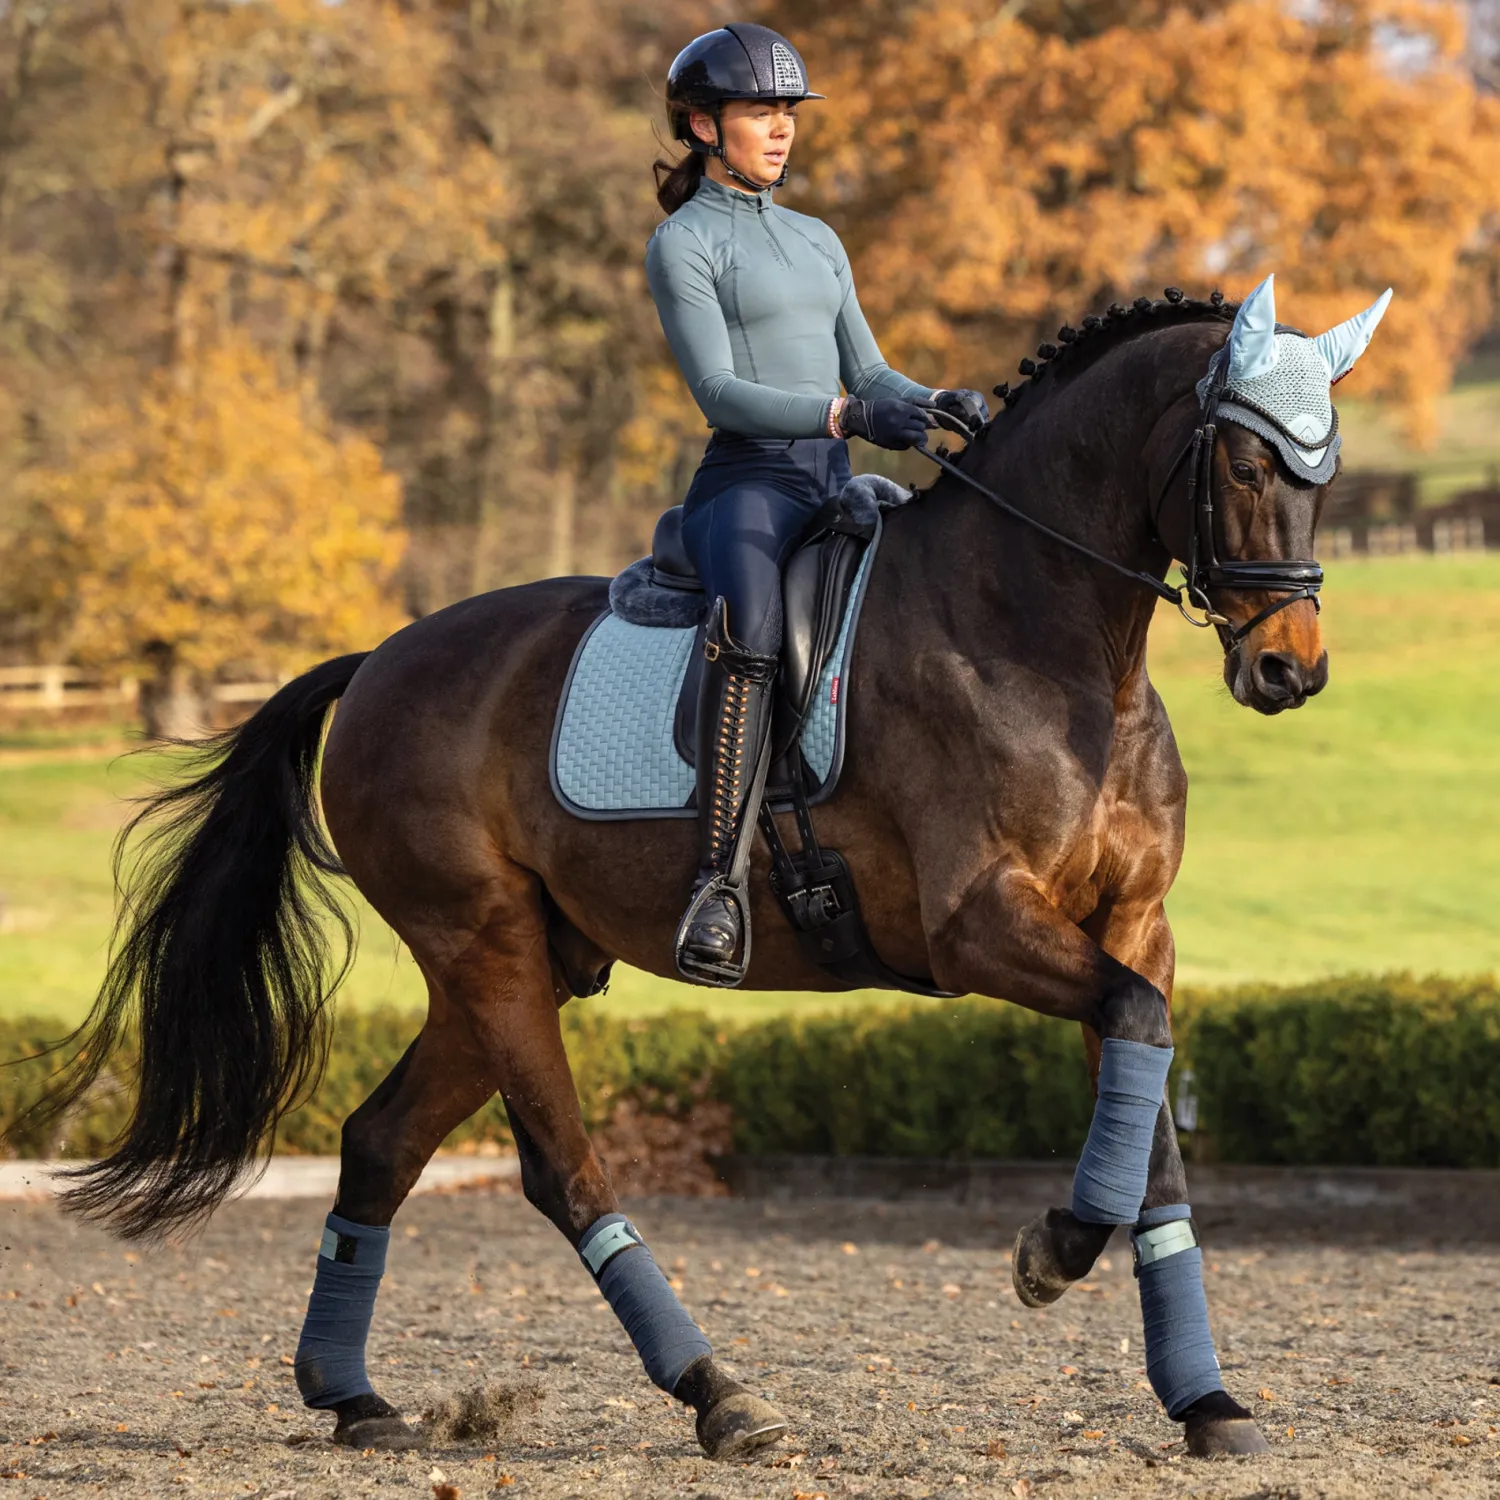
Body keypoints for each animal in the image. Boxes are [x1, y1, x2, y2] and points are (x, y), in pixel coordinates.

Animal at [27, 285, 1357, 1463]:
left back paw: (351, 1397)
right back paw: (723, 1399)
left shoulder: (1131, 924)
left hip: (514, 964)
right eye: (1247, 469)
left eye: (1324, 473)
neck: (1048, 640)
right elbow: (1131, 1055)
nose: (1290, 671)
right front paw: (1054, 1251)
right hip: (486, 946)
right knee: (564, 1172)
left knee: (379, 1142)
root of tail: (379, 662)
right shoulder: (978, 927)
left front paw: (1208, 1402)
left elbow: (1153, 1118)